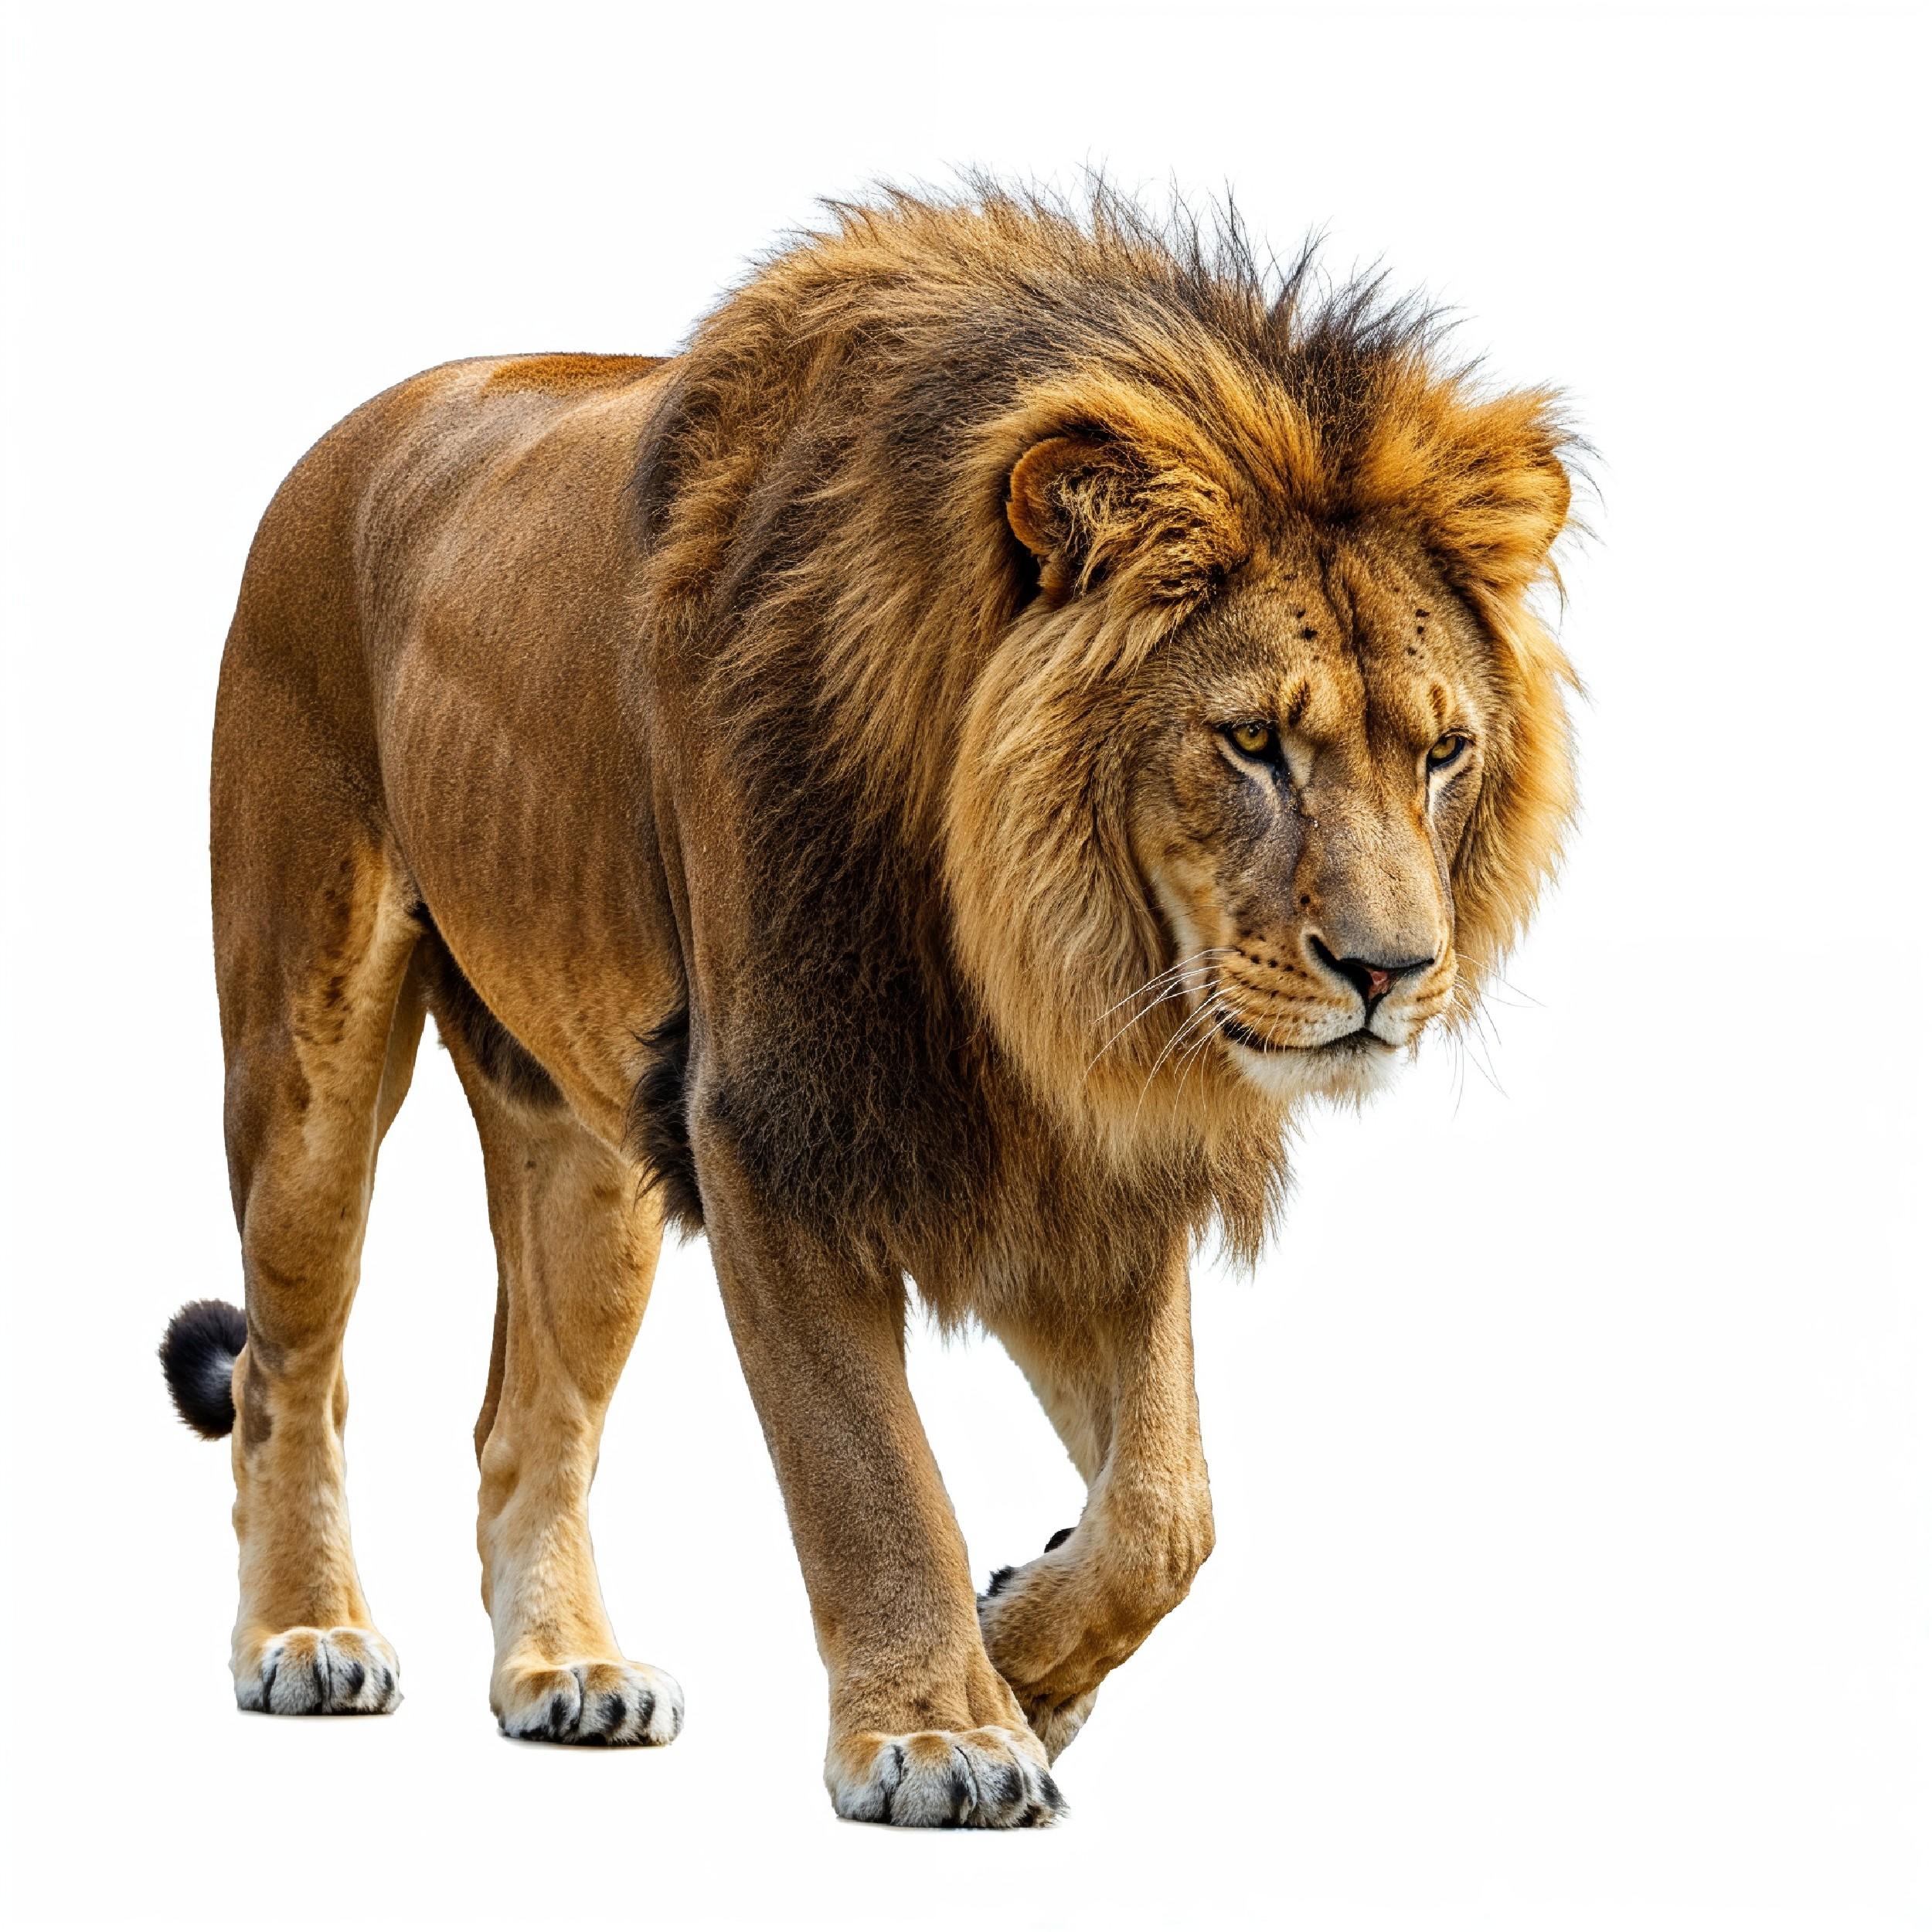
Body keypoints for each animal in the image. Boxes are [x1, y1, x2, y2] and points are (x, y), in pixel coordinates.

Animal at [159, 181, 1579, 1828]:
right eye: (1249, 744)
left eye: (1443, 753)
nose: (1392, 974)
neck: (1032, 956)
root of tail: (355, 429)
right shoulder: (770, 1127)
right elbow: (870, 1469)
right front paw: (941, 1729)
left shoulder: (1071, 1157)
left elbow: (1171, 1503)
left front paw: (1024, 1654)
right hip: (305, 1046)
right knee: (289, 1370)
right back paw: (307, 1635)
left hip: (590, 1151)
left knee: (529, 1427)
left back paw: (569, 1671)